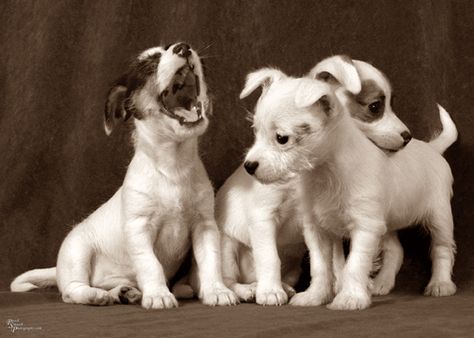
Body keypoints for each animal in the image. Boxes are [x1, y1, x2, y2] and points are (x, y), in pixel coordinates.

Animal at [12, 43, 237, 310]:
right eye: (149, 64)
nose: (183, 47)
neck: (173, 166)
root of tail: (56, 269)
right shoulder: (139, 229)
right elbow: (151, 265)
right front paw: (158, 294)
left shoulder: (204, 226)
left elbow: (210, 262)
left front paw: (216, 290)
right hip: (76, 251)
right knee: (70, 290)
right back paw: (94, 295)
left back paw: (122, 292)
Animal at [218, 56, 414, 306]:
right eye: (374, 107)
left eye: (388, 104)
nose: (408, 136)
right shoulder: (263, 215)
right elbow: (269, 256)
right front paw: (270, 291)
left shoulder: (327, 218)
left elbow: (337, 261)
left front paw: (341, 288)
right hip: (227, 245)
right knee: (229, 279)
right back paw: (247, 290)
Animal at [243, 66, 458, 312]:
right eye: (255, 131)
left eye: (281, 138)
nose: (249, 166)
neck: (326, 174)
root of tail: (433, 149)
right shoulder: (318, 230)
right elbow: (320, 266)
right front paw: (316, 295)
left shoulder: (365, 228)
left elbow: (355, 264)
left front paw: (350, 298)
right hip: (386, 222)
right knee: (396, 250)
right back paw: (382, 283)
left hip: (439, 217)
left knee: (442, 249)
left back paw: (441, 284)